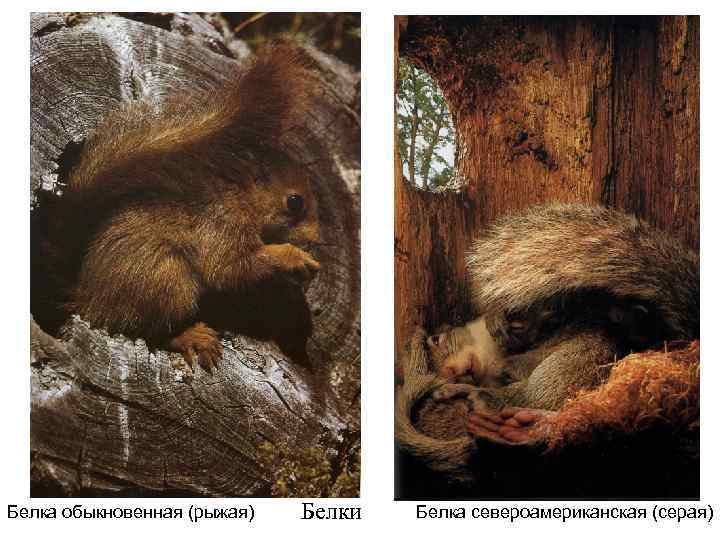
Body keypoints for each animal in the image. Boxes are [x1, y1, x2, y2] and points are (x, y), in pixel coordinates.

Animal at [31, 44, 323, 372]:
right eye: (295, 202)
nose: (315, 239)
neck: (242, 198)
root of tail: (86, 297)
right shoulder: (220, 225)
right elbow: (230, 268)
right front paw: (294, 258)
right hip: (167, 281)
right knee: (145, 329)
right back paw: (192, 336)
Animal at [395, 204, 699, 473]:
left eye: (437, 339)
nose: (449, 373)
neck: (489, 354)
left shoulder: (542, 325)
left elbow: (538, 321)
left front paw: (500, 323)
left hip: (570, 364)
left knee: (514, 397)